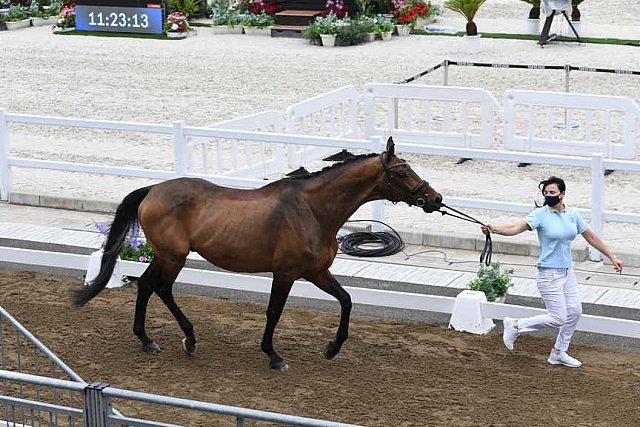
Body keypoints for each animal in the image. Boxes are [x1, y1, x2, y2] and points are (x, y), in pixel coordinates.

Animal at [72, 138, 442, 372]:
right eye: (401, 171)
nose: (435, 199)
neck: (313, 210)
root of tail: (153, 190)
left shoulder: (317, 272)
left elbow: (347, 300)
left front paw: (332, 348)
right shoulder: (286, 273)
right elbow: (274, 311)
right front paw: (274, 356)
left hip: (166, 256)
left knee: (148, 286)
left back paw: (151, 340)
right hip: (172, 256)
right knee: (159, 287)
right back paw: (184, 339)